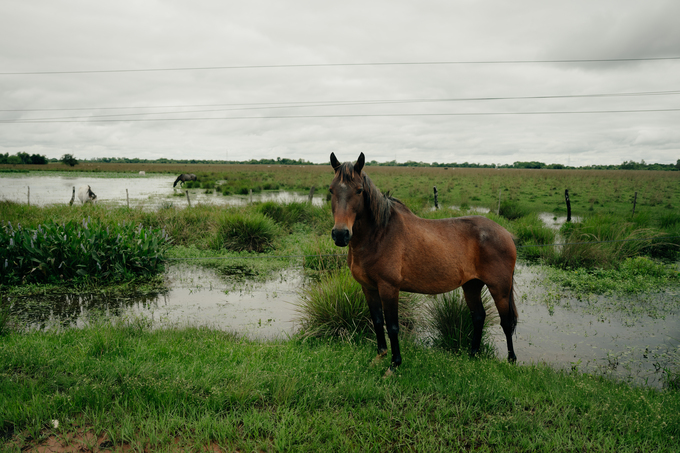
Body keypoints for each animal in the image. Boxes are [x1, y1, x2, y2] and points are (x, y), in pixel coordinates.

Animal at [329, 152, 518, 373]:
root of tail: (505, 233)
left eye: (359, 190)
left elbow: (392, 326)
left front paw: (394, 365)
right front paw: (379, 357)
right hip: (471, 285)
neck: (379, 235)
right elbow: (377, 322)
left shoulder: (389, 288)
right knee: (478, 317)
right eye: (331, 189)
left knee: (506, 321)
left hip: (499, 288)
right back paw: (472, 355)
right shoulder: (369, 288)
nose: (340, 234)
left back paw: (511, 360)